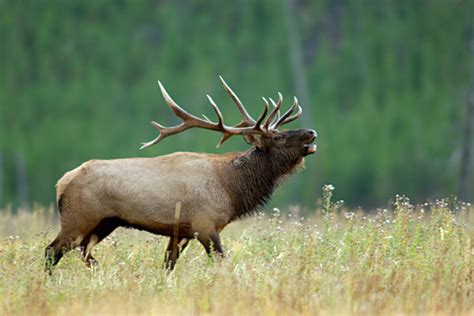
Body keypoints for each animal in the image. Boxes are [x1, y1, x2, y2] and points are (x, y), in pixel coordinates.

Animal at [45, 76, 318, 272]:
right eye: (278, 137)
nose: (312, 132)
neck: (231, 189)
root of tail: (61, 183)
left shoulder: (181, 232)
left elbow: (168, 264)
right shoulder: (204, 224)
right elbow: (221, 260)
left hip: (104, 223)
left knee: (83, 253)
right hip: (78, 219)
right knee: (51, 251)